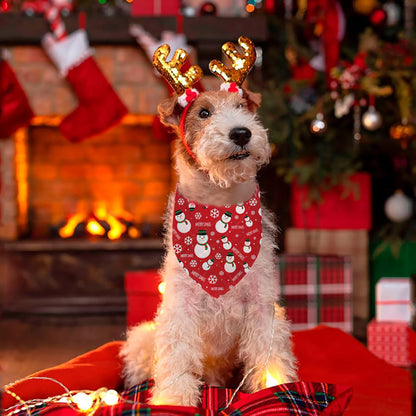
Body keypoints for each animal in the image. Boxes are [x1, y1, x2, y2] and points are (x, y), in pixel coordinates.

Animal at [120, 36, 300, 406]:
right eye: (203, 112)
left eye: (243, 106)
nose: (242, 133)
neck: (220, 206)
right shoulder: (180, 310)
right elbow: (177, 359)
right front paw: (174, 400)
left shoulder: (262, 307)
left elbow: (269, 356)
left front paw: (276, 390)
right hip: (143, 339)